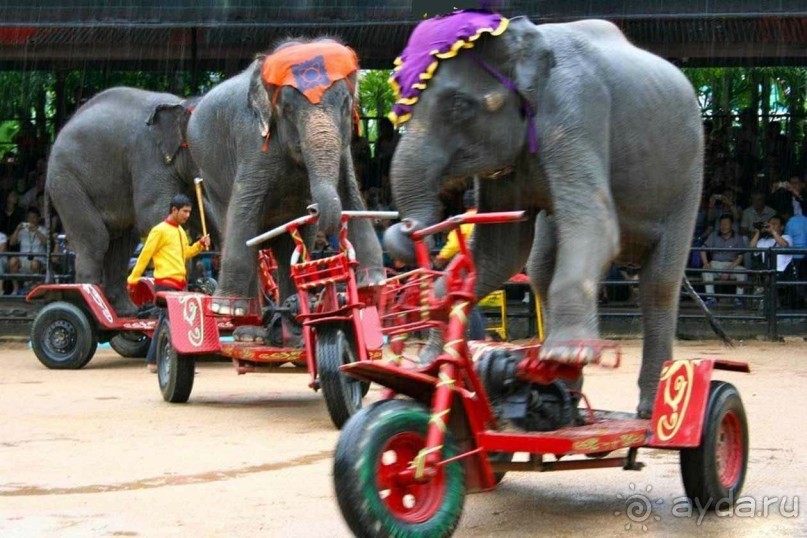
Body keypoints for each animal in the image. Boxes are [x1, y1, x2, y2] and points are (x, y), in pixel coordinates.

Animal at [47, 87, 202, 314]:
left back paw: (127, 311)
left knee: (121, 246)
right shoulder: (149, 157)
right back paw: (87, 299)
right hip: (66, 182)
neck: (183, 102)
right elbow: (152, 215)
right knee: (96, 240)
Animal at [188, 37, 384, 312]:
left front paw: (373, 282)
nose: (314, 209)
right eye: (288, 109)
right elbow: (243, 208)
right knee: (236, 230)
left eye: (346, 104)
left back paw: (290, 306)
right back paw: (243, 315)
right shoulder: (253, 142)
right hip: (209, 177)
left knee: (291, 247)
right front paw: (223, 309)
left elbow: (352, 195)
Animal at [382, 15, 704, 414]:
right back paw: (566, 394)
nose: (408, 227)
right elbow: (501, 252)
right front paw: (427, 365)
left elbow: (596, 225)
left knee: (658, 284)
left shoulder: (576, 107)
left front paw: (568, 352)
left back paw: (647, 406)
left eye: (458, 105)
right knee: (540, 266)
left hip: (687, 182)